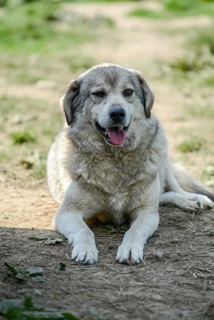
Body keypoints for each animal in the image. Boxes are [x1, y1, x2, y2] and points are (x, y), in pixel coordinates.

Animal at [47, 63, 214, 264]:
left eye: (128, 92)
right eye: (98, 94)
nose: (118, 113)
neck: (116, 158)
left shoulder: (146, 213)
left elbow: (134, 232)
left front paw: (129, 249)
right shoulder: (67, 212)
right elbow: (84, 231)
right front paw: (85, 250)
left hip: (163, 160)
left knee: (173, 190)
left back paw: (193, 199)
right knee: (163, 197)